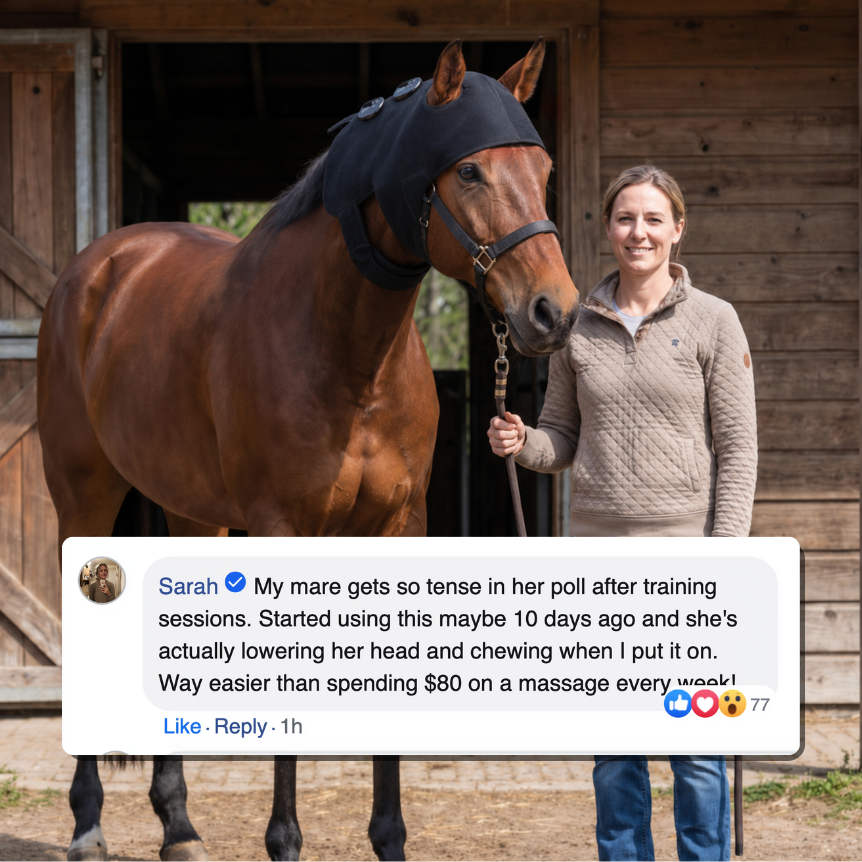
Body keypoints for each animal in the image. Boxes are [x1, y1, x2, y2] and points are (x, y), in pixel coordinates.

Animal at [38, 38, 579, 862]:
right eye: (469, 172)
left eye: (543, 170)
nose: (555, 312)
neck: (346, 353)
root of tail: (92, 271)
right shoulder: (279, 529)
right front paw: (285, 840)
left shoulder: (399, 528)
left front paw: (390, 840)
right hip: (84, 495)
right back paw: (89, 822)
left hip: (189, 512)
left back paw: (180, 827)